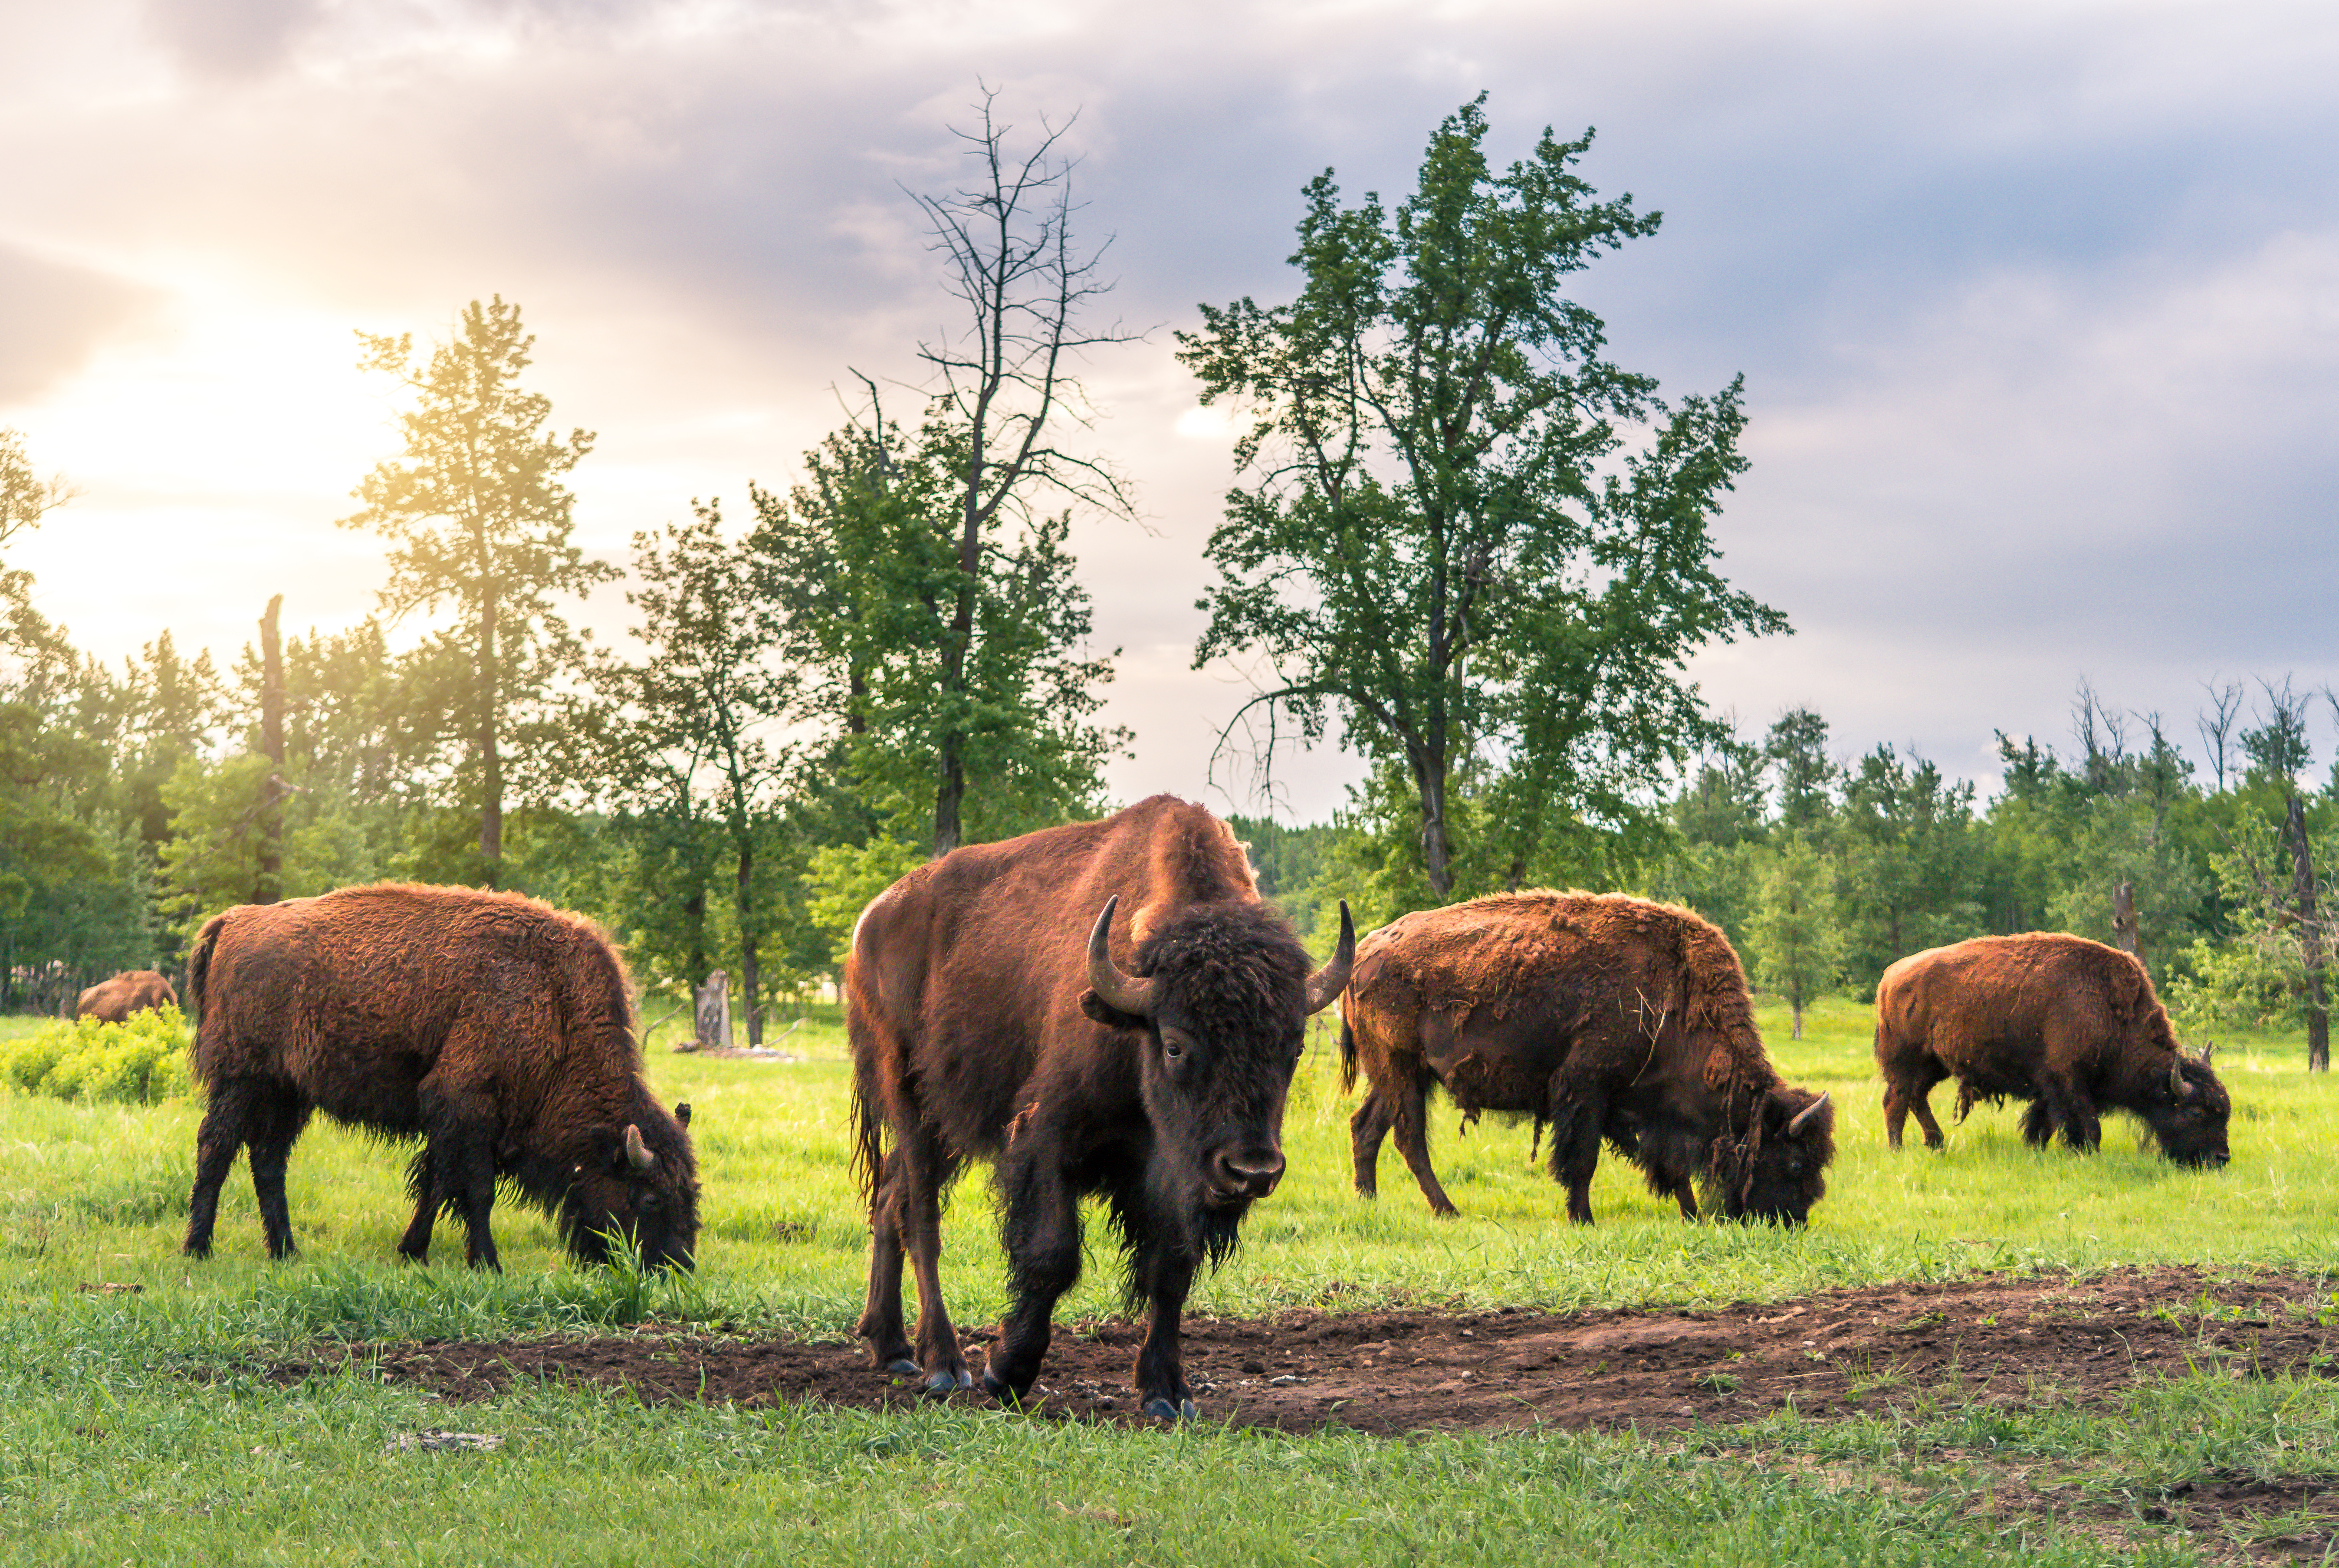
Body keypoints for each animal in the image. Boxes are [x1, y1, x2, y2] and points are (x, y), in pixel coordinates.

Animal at [182, 882, 699, 1270]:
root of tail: (233, 921)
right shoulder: (466, 1103)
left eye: (690, 1194)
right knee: (217, 1147)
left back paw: (287, 1251)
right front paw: (487, 1262)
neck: (556, 1003)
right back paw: (199, 1249)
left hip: (289, 1091)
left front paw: (413, 1251)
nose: (677, 1267)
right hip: (242, 1078)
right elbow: (475, 1189)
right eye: (649, 1199)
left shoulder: (457, 1120)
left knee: (269, 1159)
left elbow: (436, 1183)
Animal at [847, 795, 1353, 1420]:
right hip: (910, 1100)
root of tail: (870, 922)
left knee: (889, 1198)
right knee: (920, 1217)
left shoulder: (1172, 1174)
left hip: (947, 1126)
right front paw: (1005, 1370)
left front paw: (1167, 1393)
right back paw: (944, 1363)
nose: (1251, 1170)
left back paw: (891, 1347)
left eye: (1293, 1048)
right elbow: (1052, 1255)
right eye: (1175, 1044)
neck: (1131, 1029)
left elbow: (1170, 1270)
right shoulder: (1045, 1139)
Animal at [1341, 891, 1835, 1225]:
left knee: (1366, 1127)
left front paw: (1691, 1216)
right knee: (1409, 1139)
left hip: (1398, 1075)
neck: (1674, 999)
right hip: (1402, 1068)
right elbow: (1582, 1159)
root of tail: (1363, 953)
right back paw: (1447, 1210)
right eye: (1794, 1162)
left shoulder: (1639, 1108)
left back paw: (1369, 1202)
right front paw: (1583, 1218)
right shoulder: (1586, 1087)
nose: (1791, 1223)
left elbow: (1670, 1167)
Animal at [1875, 932, 2230, 1166]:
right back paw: (1898, 1149)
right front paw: (2087, 1155)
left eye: (2223, 1111)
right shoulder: (2070, 1079)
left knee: (1916, 1097)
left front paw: (2037, 1149)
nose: (2221, 1158)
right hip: (1906, 1060)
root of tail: (1891, 975)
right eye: (2196, 1112)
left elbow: (2042, 1122)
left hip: (1934, 1064)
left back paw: (1936, 1143)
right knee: (1896, 1100)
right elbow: (2089, 1125)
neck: (2113, 1013)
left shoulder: (2049, 1083)